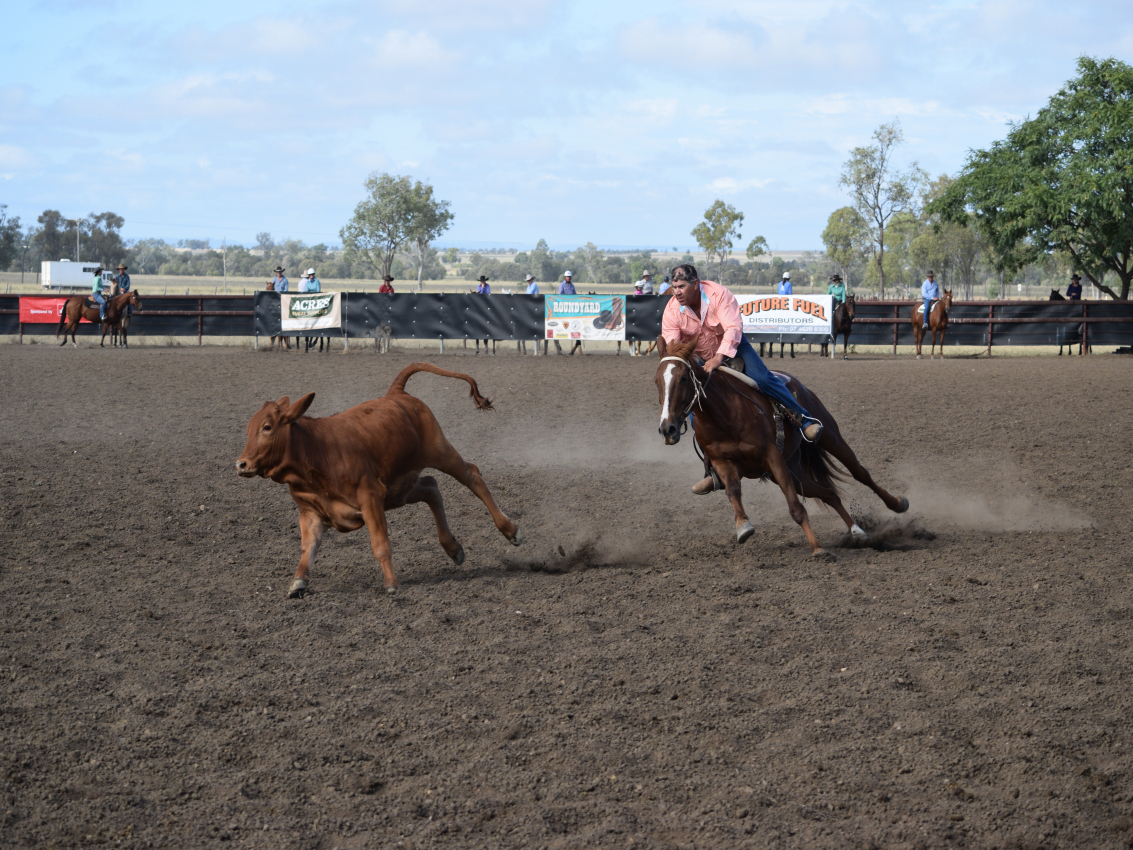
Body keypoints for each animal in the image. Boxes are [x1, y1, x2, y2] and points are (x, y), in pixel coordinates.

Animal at [236, 362, 524, 597]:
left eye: (267, 427)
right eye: (248, 429)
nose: (241, 464)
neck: (316, 451)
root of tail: (396, 394)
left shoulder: (370, 498)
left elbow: (380, 544)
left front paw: (391, 584)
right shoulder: (311, 512)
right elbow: (309, 548)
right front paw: (298, 582)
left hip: (439, 452)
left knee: (472, 476)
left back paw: (510, 530)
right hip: (400, 487)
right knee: (431, 487)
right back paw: (453, 547)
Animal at [654, 337, 909, 555]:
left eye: (683, 378)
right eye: (657, 381)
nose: (668, 429)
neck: (723, 415)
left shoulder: (772, 455)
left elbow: (796, 508)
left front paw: (817, 548)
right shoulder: (722, 462)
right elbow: (733, 492)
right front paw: (743, 526)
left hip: (828, 436)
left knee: (860, 473)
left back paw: (897, 504)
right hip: (794, 469)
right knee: (829, 493)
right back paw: (857, 532)